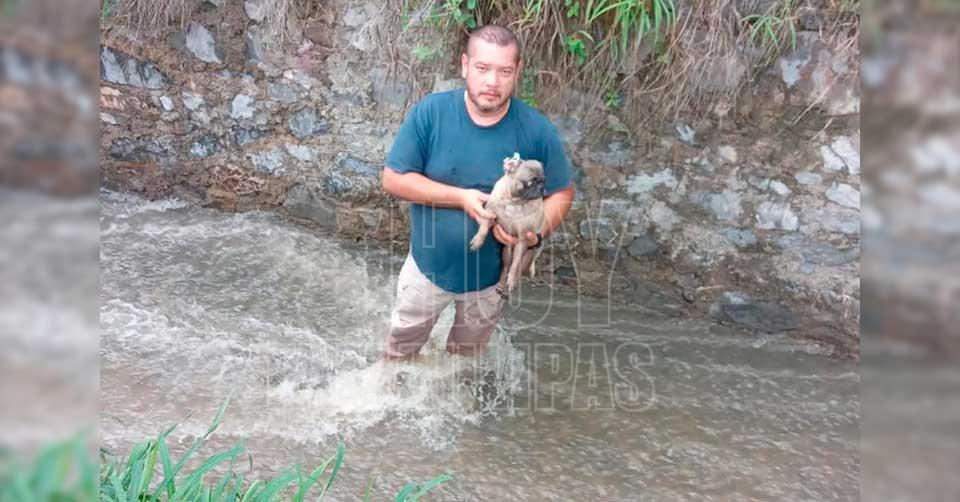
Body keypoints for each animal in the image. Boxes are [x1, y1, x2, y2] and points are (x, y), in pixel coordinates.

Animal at [469, 153, 546, 296]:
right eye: (531, 182)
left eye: (544, 180)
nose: (541, 187)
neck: (514, 201)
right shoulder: (490, 214)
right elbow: (484, 227)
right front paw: (478, 240)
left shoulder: (523, 239)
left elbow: (515, 265)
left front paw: (511, 279)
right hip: (507, 252)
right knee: (505, 267)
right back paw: (501, 284)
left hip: (527, 255)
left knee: (517, 267)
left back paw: (512, 281)